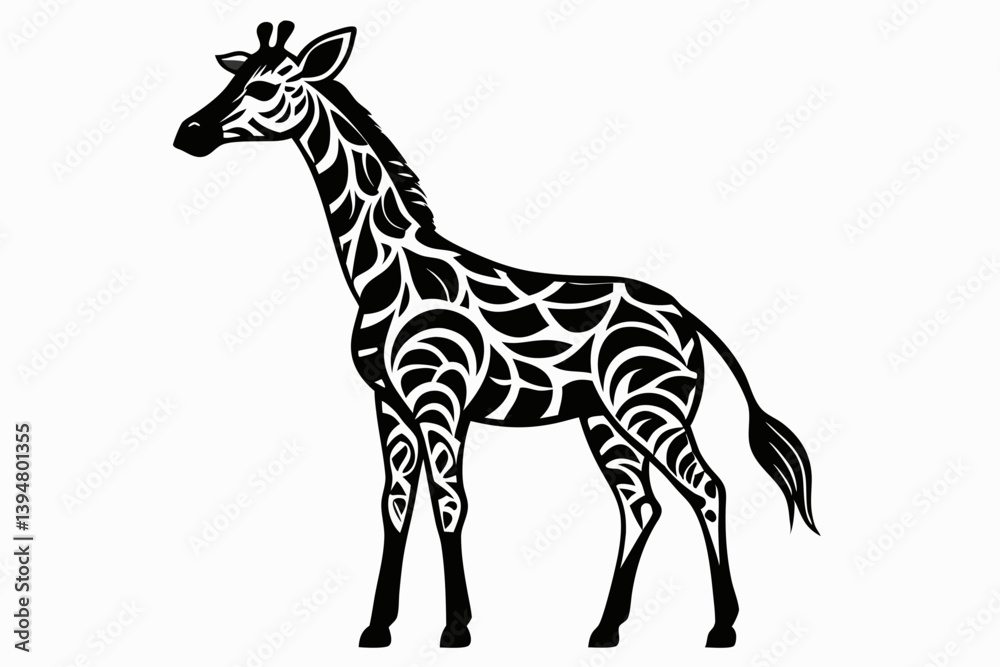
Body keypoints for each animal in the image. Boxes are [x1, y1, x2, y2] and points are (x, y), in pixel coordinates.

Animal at [174, 22, 819, 650]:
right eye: (234, 79)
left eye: (263, 87)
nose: (188, 133)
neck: (384, 270)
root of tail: (687, 316)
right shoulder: (390, 403)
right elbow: (395, 504)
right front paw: (378, 628)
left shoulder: (441, 396)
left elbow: (449, 502)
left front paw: (455, 628)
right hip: (605, 419)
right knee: (641, 506)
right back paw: (606, 629)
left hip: (651, 407)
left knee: (708, 490)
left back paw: (722, 627)